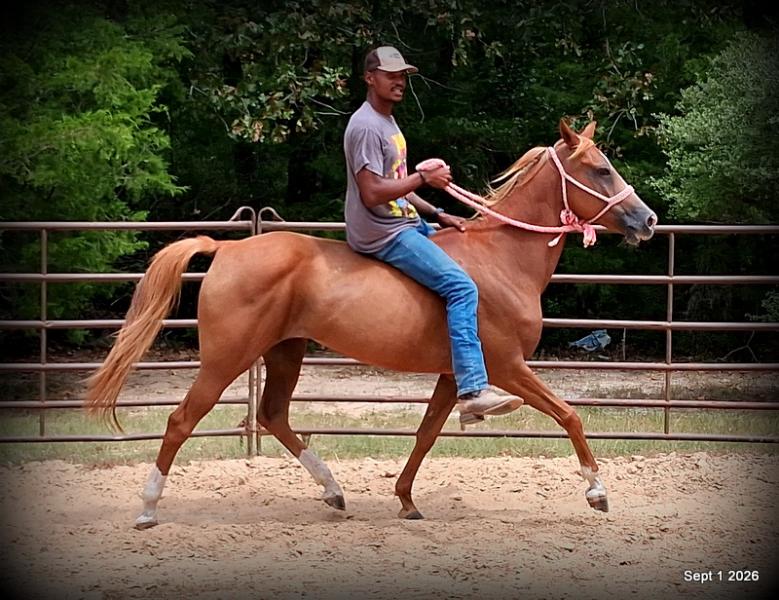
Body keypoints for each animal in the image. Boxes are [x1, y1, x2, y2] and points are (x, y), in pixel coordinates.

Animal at [86, 120, 657, 529]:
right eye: (600, 170)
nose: (647, 220)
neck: (502, 258)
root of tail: (227, 250)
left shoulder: (451, 375)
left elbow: (426, 435)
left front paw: (405, 500)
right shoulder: (507, 366)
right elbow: (569, 415)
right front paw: (597, 491)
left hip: (285, 352)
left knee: (273, 415)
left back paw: (334, 490)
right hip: (227, 358)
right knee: (182, 420)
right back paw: (148, 509)